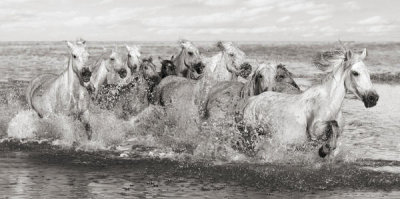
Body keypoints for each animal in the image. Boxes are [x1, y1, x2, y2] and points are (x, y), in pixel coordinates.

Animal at [239, 47, 380, 158]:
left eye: (368, 73)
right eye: (355, 73)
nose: (373, 98)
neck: (330, 104)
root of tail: (252, 100)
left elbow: (334, 134)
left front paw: (325, 149)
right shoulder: (314, 129)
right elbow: (333, 124)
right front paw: (323, 150)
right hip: (252, 135)